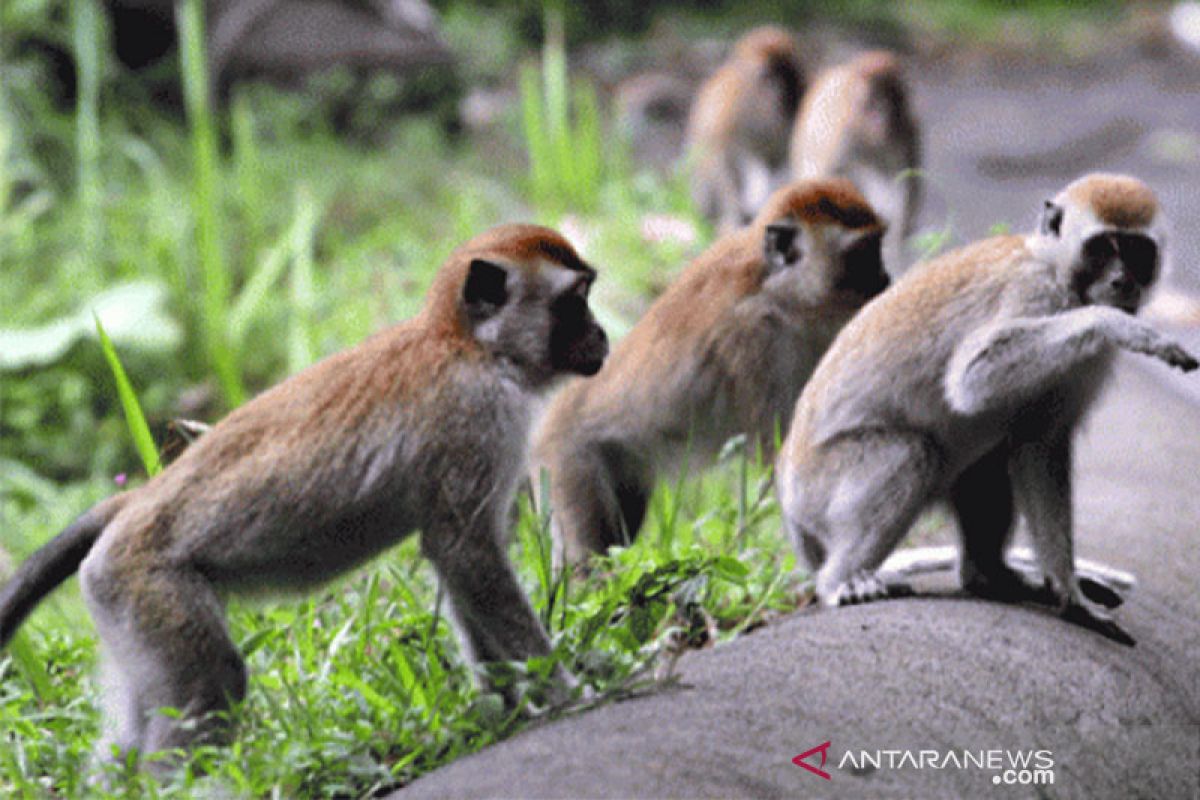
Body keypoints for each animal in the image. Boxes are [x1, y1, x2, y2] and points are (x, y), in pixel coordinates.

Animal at [0, 221, 609, 772]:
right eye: (574, 302)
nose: (602, 335)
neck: (470, 347)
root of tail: (134, 505)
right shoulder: (475, 416)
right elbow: (465, 552)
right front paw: (564, 692)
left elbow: (458, 564)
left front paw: (508, 703)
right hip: (146, 583)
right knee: (210, 683)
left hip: (118, 603)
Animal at [535, 181, 892, 568]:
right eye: (862, 255)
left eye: (876, 247)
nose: (886, 279)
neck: (778, 292)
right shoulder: (753, 340)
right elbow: (782, 457)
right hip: (570, 460)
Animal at [772, 173, 1195, 642]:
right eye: (1103, 247)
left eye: (1138, 250)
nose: (1122, 281)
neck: (1057, 269)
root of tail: (788, 505)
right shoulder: (1035, 295)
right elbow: (972, 377)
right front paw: (1112, 322)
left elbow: (1039, 445)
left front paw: (1070, 594)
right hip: (819, 487)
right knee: (912, 454)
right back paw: (838, 583)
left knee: (986, 462)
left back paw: (992, 575)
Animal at [792, 50, 921, 275]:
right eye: (872, 102)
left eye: (890, 100)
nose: (882, 119)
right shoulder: (845, 138)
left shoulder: (905, 133)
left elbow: (904, 187)